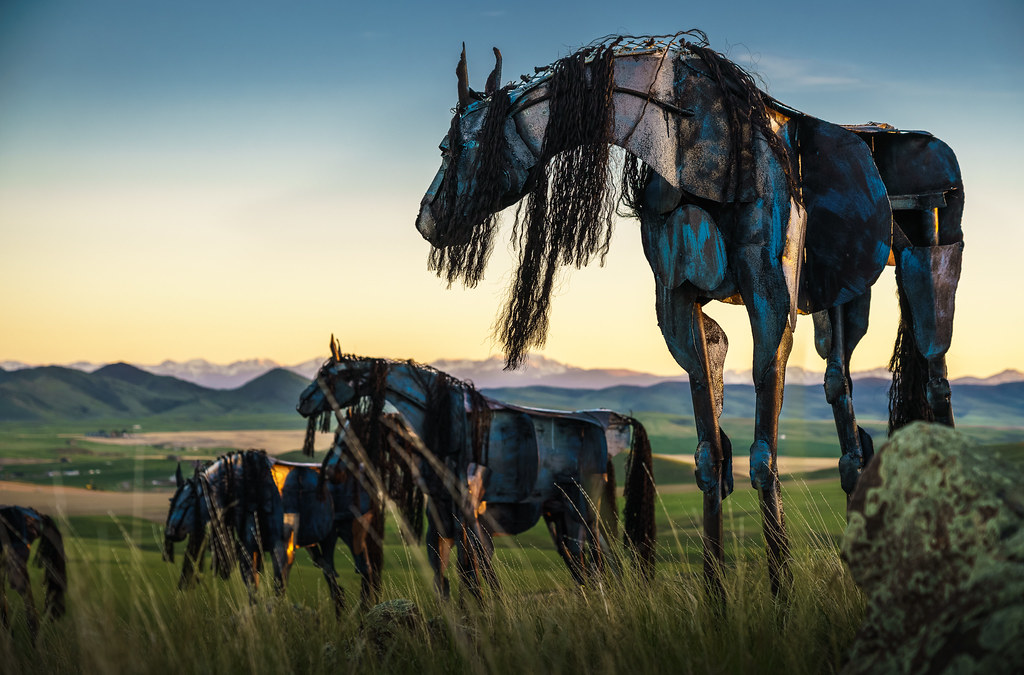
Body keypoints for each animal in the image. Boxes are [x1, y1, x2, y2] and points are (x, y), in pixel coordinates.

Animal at [163, 450, 381, 612]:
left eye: (190, 499)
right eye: (171, 500)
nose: (171, 532)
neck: (251, 488)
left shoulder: (283, 549)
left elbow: (279, 587)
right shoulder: (250, 550)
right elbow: (252, 587)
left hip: (353, 532)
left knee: (366, 571)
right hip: (327, 538)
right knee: (333, 576)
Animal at [295, 342, 656, 598]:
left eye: (329, 376)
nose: (301, 403)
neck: (441, 422)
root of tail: (606, 423)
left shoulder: (468, 511)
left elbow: (474, 565)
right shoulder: (441, 514)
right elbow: (446, 572)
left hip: (580, 508)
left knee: (593, 556)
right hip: (559, 513)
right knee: (591, 558)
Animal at [413, 31, 963, 596]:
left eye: (450, 147)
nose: (426, 219)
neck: (687, 135)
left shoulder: (771, 300)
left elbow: (763, 456)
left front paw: (781, 594)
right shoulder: (679, 302)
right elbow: (708, 454)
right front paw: (716, 597)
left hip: (929, 263)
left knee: (935, 374)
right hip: (842, 296)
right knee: (843, 403)